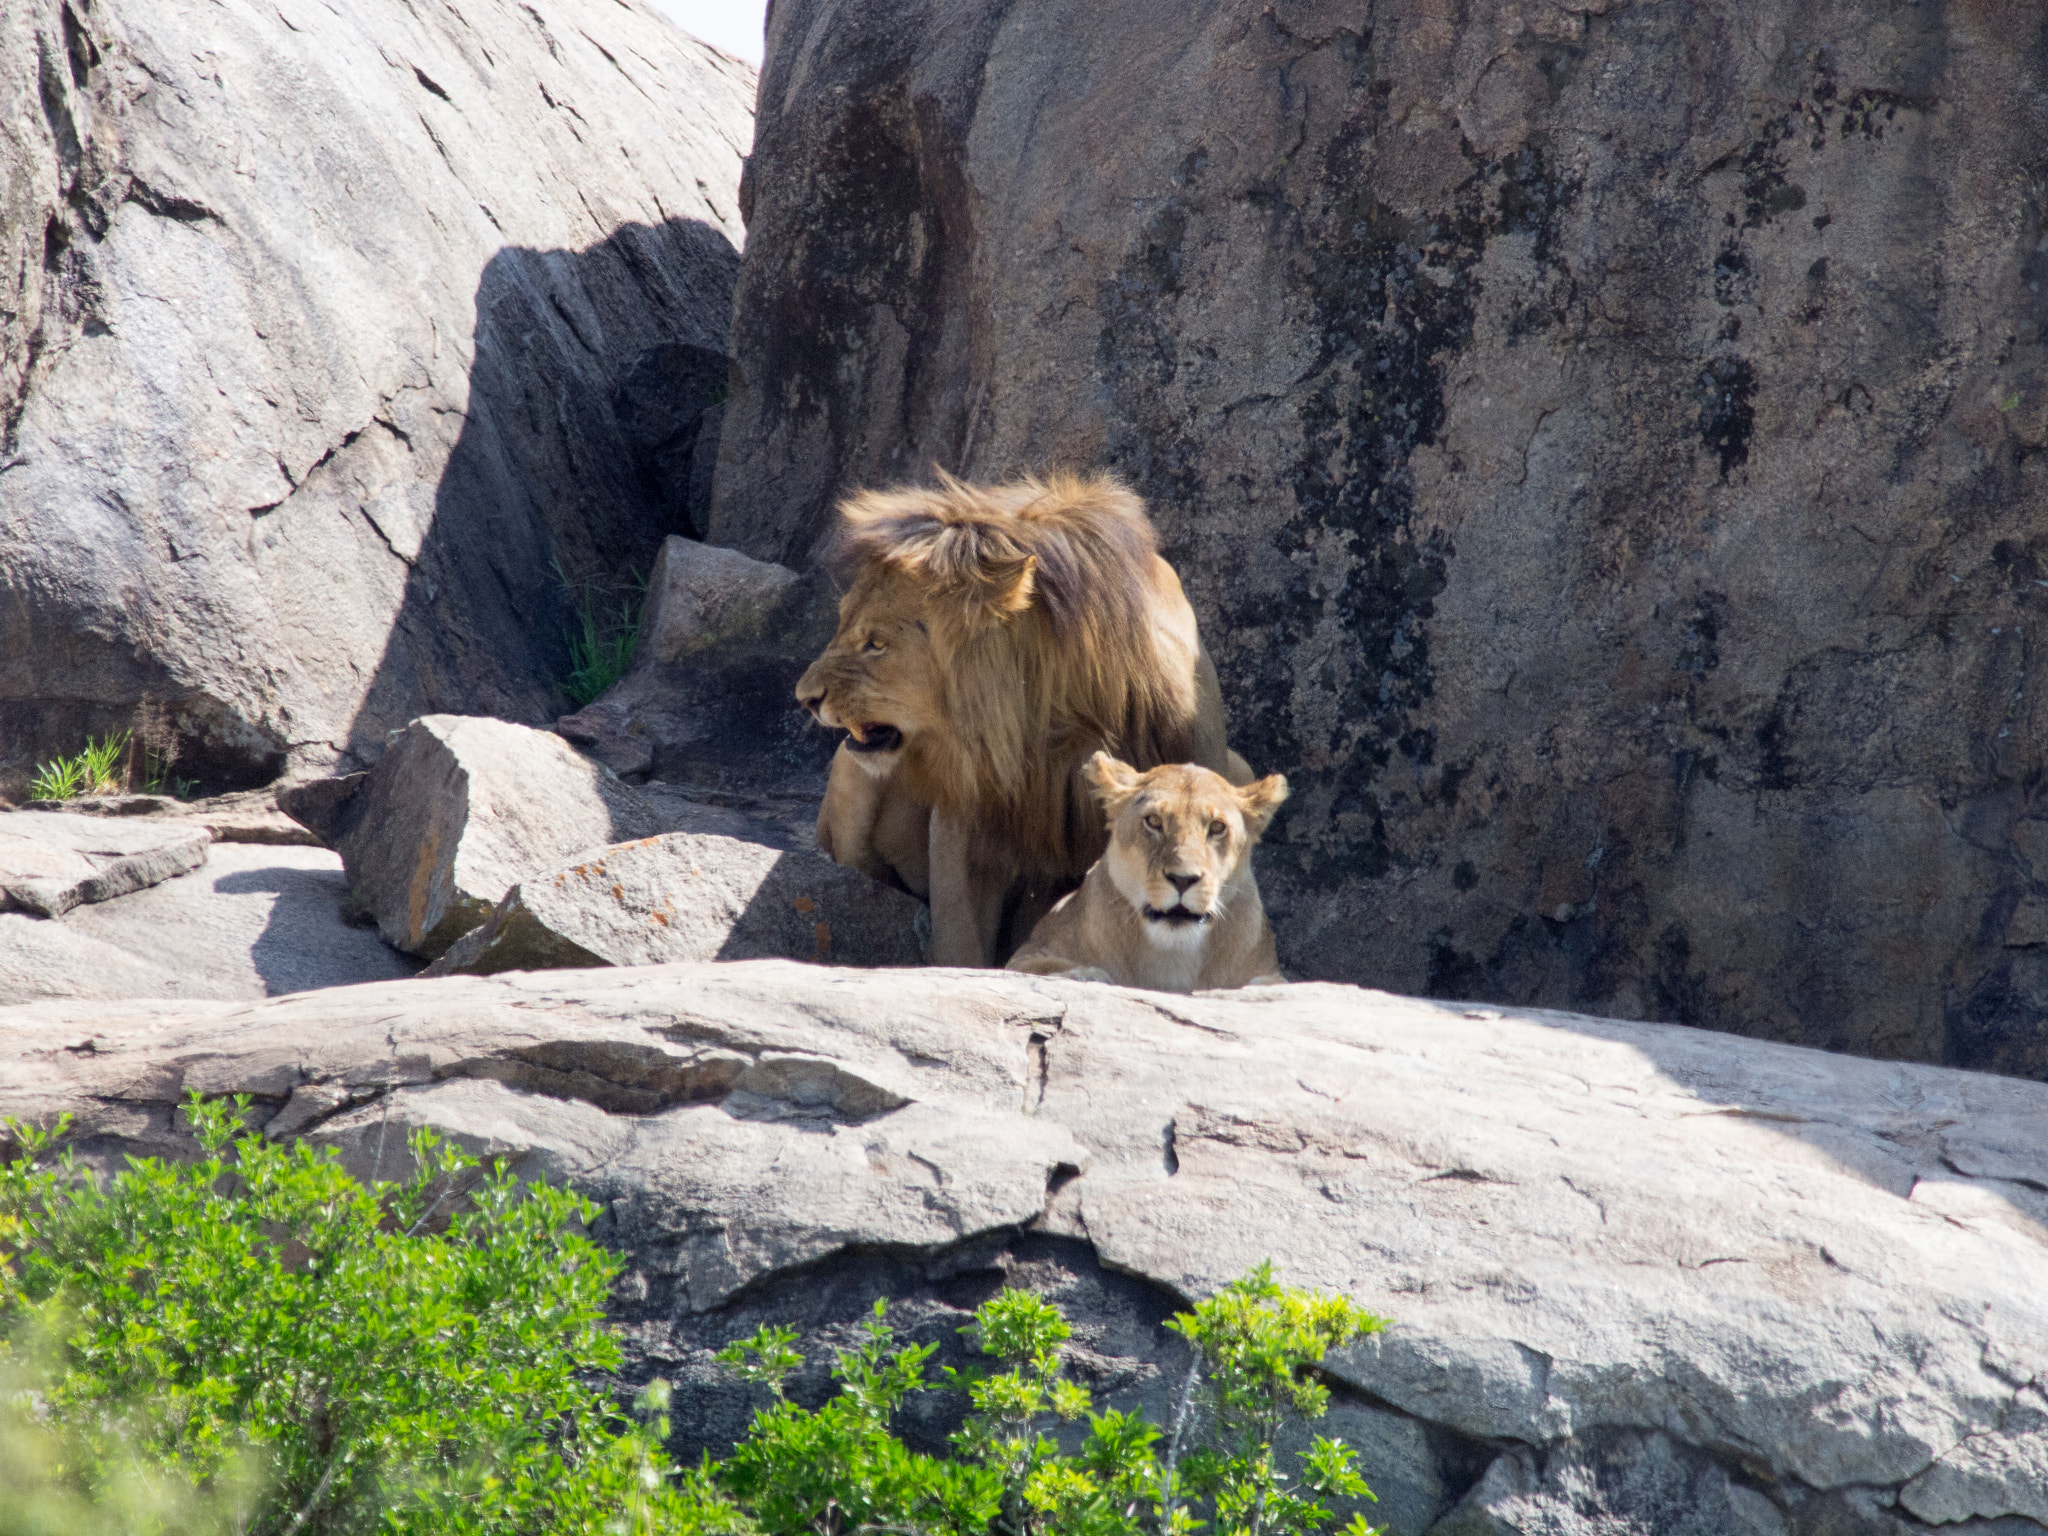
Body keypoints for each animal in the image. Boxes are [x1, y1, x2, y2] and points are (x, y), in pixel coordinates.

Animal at [794, 475, 1245, 966]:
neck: (1048, 723)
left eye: (876, 643)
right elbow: (960, 936)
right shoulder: (965, 814)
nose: (805, 698)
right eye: (842, 622)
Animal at [1003, 757, 1286, 999]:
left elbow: (1273, 982)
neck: (1172, 953)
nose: (1183, 880)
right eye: (1154, 821)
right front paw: (1088, 974)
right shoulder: (1028, 952)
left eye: (1217, 827)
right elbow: (1040, 966)